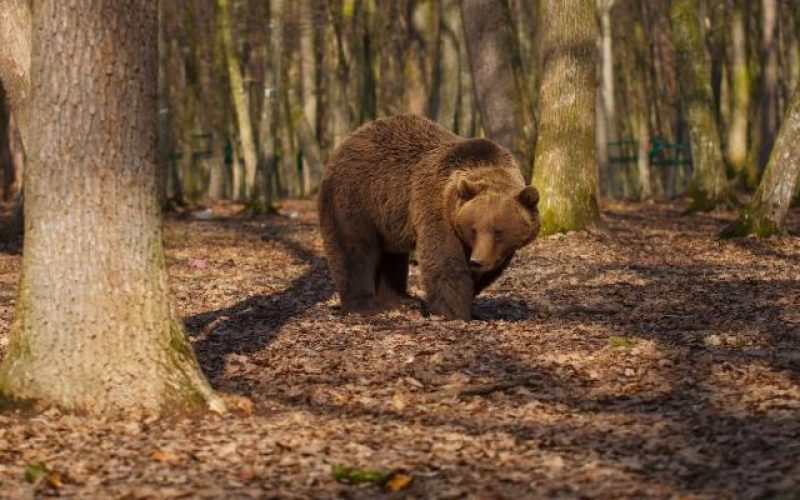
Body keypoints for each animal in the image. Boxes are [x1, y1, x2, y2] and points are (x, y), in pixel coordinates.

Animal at [316, 114, 540, 320]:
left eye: (499, 232)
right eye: (474, 229)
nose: (477, 261)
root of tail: (345, 143)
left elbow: (491, 269)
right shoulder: (436, 207)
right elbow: (444, 259)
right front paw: (453, 312)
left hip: (390, 216)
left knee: (392, 255)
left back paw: (400, 300)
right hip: (355, 196)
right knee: (355, 248)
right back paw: (363, 307)